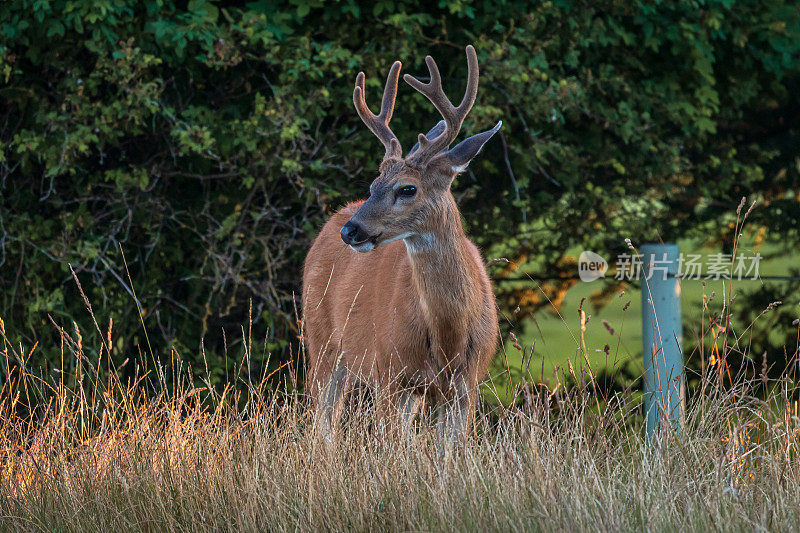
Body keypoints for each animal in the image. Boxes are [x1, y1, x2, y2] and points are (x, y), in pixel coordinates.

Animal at [304, 44, 504, 436]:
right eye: (372, 185)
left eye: (407, 189)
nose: (351, 231)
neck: (448, 334)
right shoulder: (388, 372)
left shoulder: (466, 386)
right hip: (321, 342)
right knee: (321, 425)